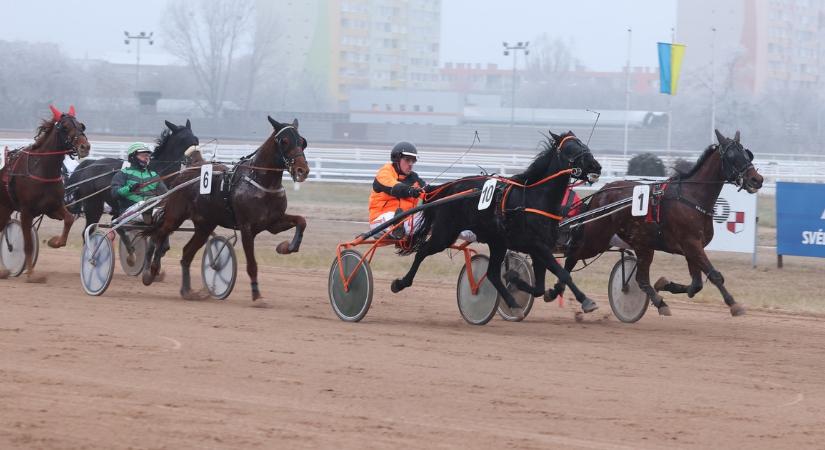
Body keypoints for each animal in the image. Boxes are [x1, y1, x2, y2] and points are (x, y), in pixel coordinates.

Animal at [0, 105, 90, 282]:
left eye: (81, 126)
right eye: (65, 127)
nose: (85, 147)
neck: (42, 170)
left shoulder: (52, 207)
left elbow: (69, 219)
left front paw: (54, 241)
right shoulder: (26, 211)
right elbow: (28, 244)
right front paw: (31, 274)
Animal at [390, 132, 600, 318]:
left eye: (583, 144)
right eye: (570, 148)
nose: (596, 166)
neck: (535, 198)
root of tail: (448, 188)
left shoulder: (541, 247)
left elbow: (540, 288)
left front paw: (516, 280)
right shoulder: (536, 245)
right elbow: (563, 273)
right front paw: (586, 301)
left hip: (497, 242)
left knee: (492, 274)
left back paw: (513, 303)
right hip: (444, 234)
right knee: (422, 252)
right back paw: (400, 283)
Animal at [548, 128, 768, 314]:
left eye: (747, 154)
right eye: (731, 156)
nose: (757, 180)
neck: (691, 197)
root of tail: (600, 192)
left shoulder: (692, 248)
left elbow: (696, 284)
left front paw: (665, 284)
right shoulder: (691, 244)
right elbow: (714, 275)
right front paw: (734, 304)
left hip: (642, 244)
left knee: (641, 279)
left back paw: (659, 302)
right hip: (596, 239)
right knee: (572, 257)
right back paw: (557, 291)